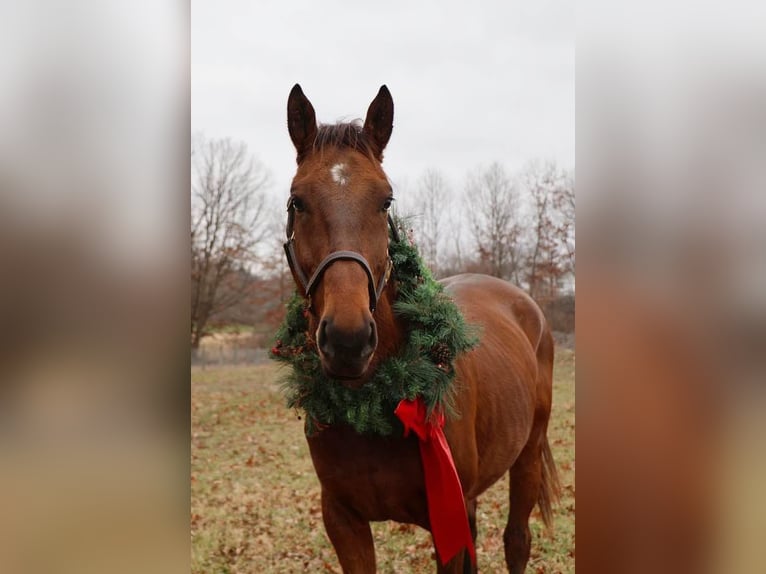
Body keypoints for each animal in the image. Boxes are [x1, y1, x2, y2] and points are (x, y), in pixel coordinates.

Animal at [282, 84, 559, 573]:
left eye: (385, 200)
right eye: (298, 201)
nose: (348, 340)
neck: (372, 405)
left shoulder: (446, 520)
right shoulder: (343, 521)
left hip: (526, 456)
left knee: (517, 540)